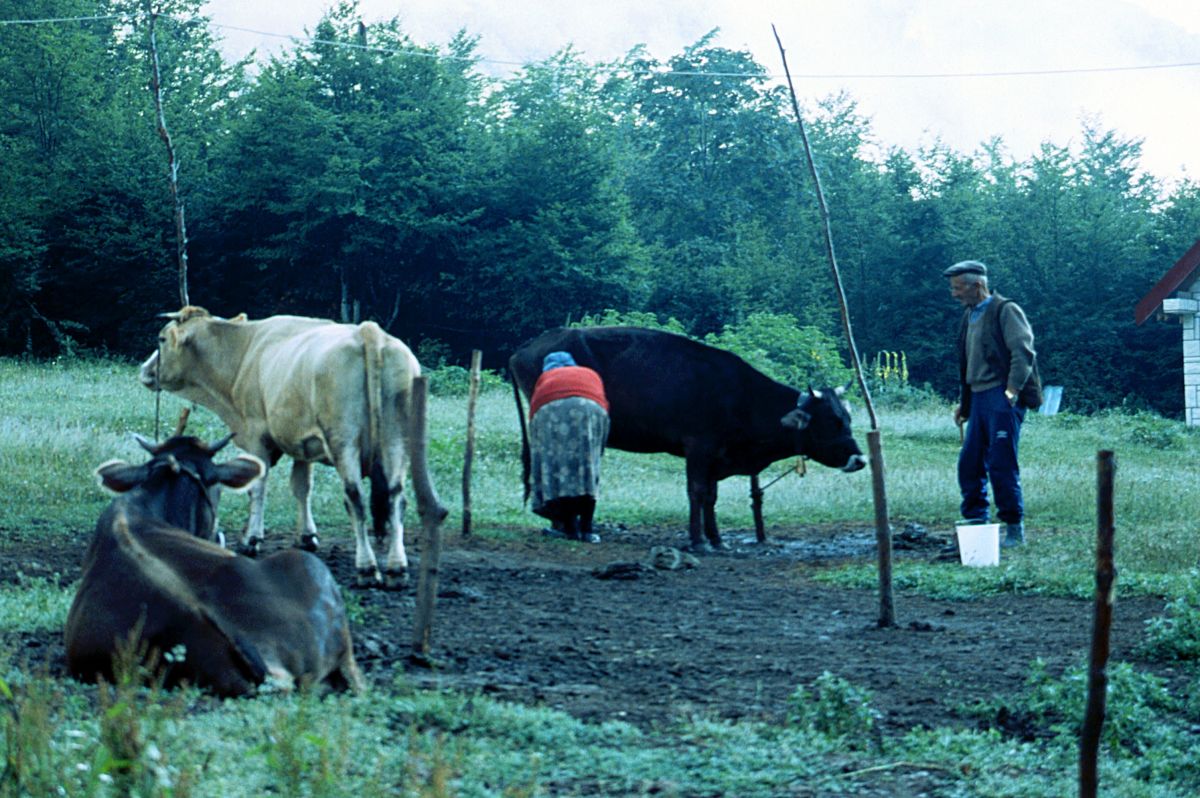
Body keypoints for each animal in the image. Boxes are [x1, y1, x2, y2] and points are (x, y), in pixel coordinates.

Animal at [137, 304, 446, 585]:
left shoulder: (257, 435)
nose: (144, 370)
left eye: (161, 339)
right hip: (397, 440)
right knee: (396, 497)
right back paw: (396, 567)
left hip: (343, 440)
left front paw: (251, 539)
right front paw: (307, 536)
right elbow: (302, 488)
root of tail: (369, 331)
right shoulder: (303, 443)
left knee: (355, 498)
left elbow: (258, 488)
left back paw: (367, 567)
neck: (244, 352)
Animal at [511, 326, 868, 552]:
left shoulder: (716, 456)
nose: (860, 459)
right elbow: (696, 492)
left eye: (849, 418)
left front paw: (716, 539)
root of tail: (526, 347)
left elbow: (711, 496)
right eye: (834, 421)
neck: (741, 396)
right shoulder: (699, 447)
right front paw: (698, 540)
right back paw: (565, 525)